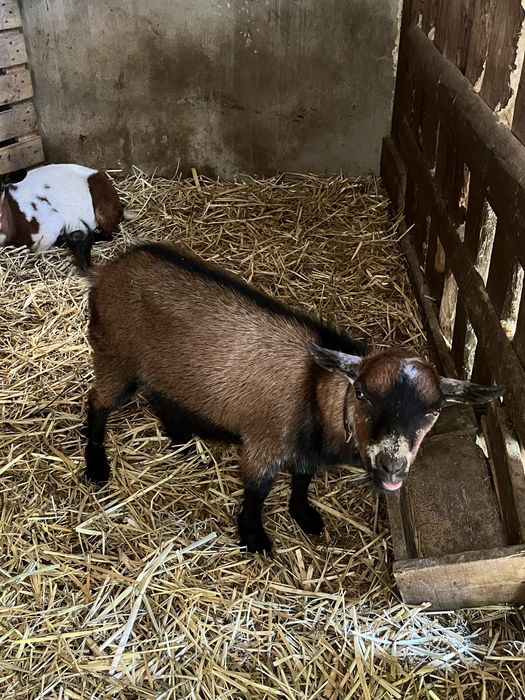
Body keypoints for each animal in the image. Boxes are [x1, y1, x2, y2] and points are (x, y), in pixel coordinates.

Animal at [83, 243, 504, 553]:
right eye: (362, 393)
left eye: (434, 411)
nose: (392, 468)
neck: (316, 392)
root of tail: (106, 269)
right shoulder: (264, 446)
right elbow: (256, 493)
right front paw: (254, 537)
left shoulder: (307, 454)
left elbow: (302, 481)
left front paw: (305, 516)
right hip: (114, 354)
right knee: (97, 403)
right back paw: (97, 466)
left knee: (157, 393)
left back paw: (179, 435)